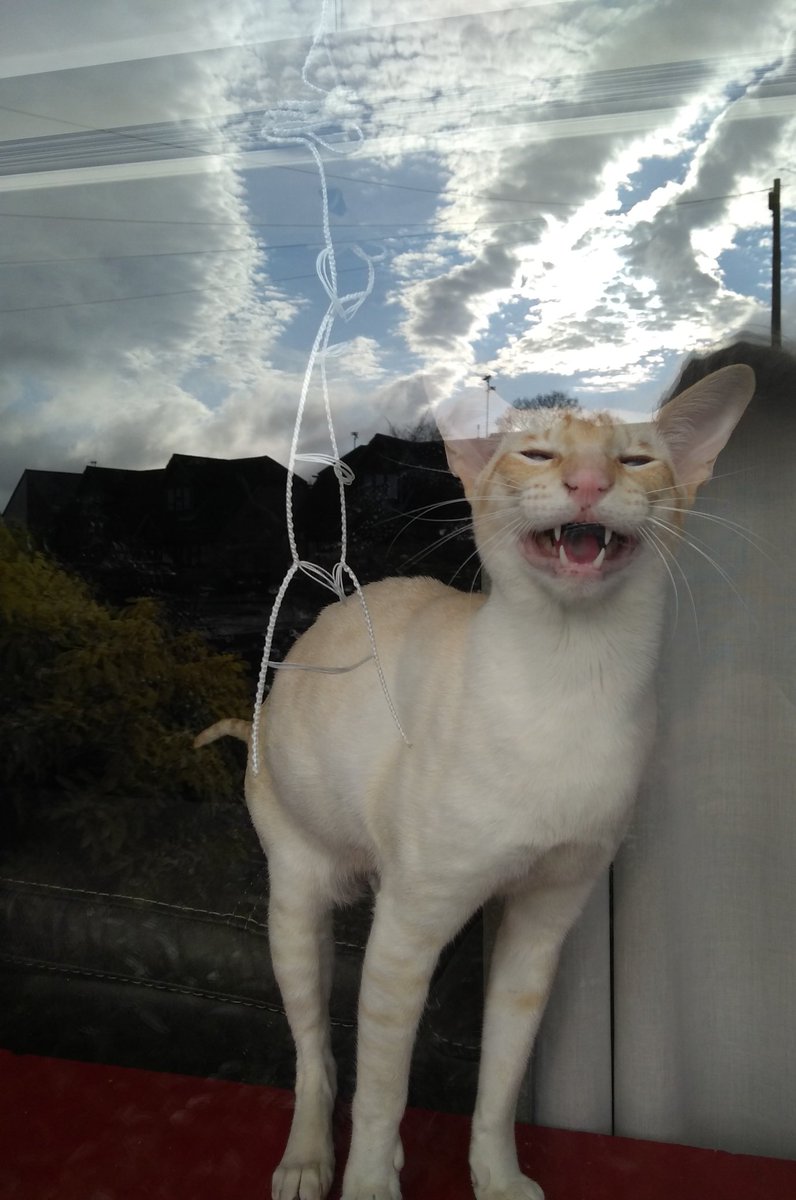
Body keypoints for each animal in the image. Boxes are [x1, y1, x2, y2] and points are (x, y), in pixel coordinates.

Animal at [198, 364, 753, 1200]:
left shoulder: (539, 928)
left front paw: (496, 1179)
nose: (588, 483)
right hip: (298, 907)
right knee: (317, 1054)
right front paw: (370, 1186)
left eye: (635, 462)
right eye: (537, 453)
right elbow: (381, 1094)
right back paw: (307, 1159)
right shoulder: (407, 931)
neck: (572, 682)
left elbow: (498, 1084)